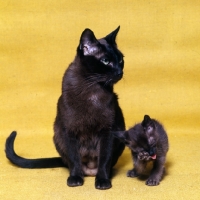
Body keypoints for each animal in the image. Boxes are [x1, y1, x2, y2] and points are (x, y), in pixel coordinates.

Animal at [5, 26, 126, 189]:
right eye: (105, 61)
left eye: (121, 60)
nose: (120, 72)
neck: (92, 89)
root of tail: (90, 170)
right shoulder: (69, 131)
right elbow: (74, 159)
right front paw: (75, 179)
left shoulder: (108, 130)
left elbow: (104, 159)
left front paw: (102, 181)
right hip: (58, 136)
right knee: (70, 161)